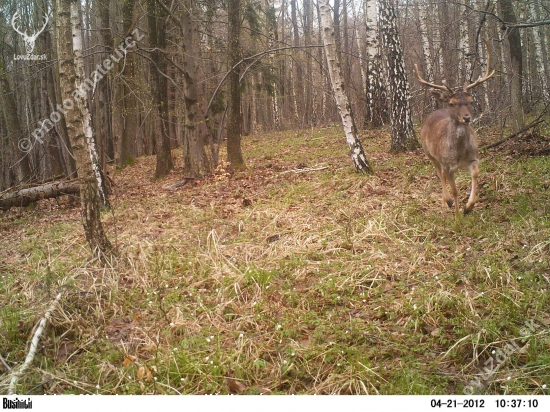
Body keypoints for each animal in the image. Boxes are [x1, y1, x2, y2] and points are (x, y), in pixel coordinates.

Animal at [416, 42, 498, 220]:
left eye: (471, 101)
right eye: (452, 103)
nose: (467, 118)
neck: (459, 154)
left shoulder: (474, 158)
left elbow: (475, 174)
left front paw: (468, 207)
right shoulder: (447, 164)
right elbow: (454, 189)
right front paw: (458, 217)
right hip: (429, 153)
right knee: (439, 173)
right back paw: (446, 200)